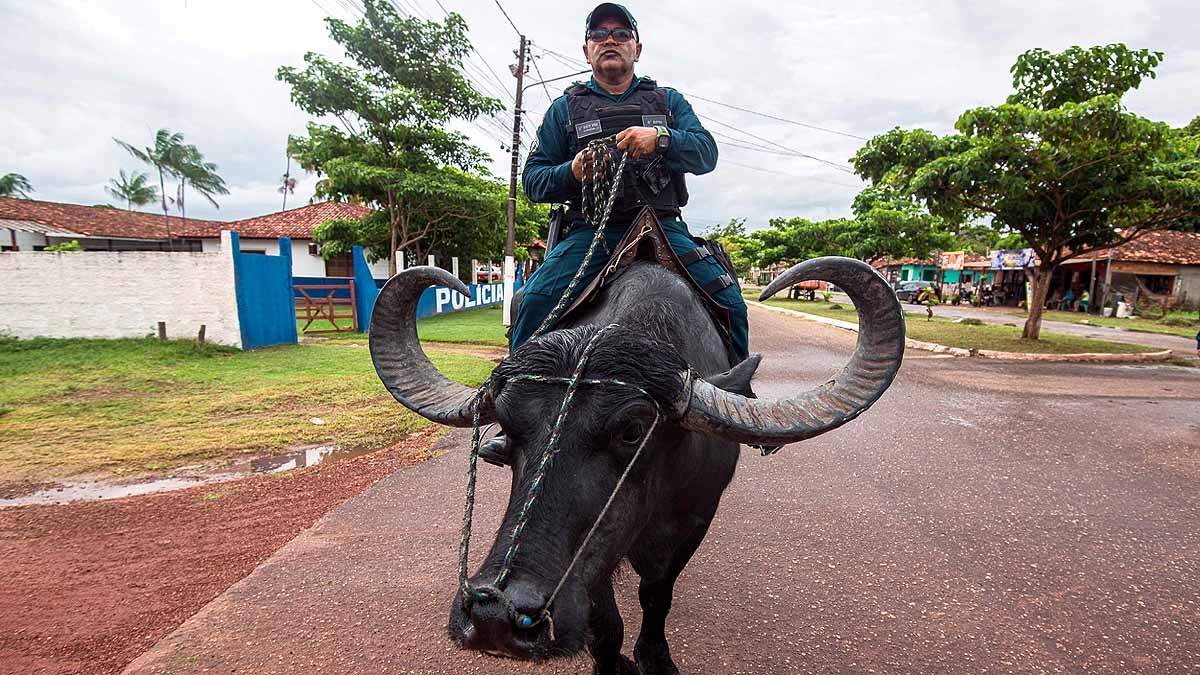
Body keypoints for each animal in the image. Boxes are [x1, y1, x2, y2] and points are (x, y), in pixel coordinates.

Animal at [369, 256, 904, 674]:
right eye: (508, 421)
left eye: (632, 430)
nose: (495, 617)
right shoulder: (601, 550)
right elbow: (604, 618)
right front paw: (613, 662)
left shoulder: (696, 518)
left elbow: (657, 593)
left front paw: (655, 656)